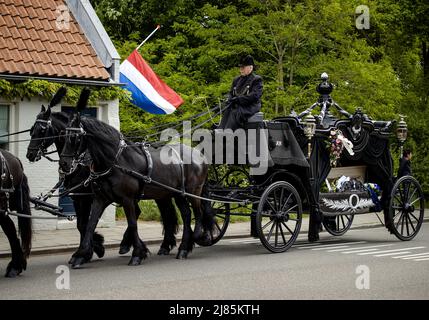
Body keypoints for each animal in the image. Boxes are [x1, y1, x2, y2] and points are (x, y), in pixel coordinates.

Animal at [25, 88, 179, 262]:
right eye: (32, 129)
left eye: (42, 130)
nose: (30, 154)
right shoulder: (79, 197)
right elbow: (83, 224)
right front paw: (90, 249)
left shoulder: (86, 197)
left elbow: (84, 224)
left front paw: (93, 248)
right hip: (160, 194)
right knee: (162, 214)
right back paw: (147, 244)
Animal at [59, 94, 213, 268]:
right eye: (63, 135)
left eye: (74, 137)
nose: (64, 163)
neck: (116, 161)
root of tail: (198, 154)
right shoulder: (100, 198)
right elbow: (90, 224)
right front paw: (81, 255)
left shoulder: (127, 199)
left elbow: (132, 224)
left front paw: (137, 254)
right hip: (177, 194)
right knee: (186, 215)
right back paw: (183, 248)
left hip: (193, 191)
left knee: (198, 212)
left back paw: (198, 236)